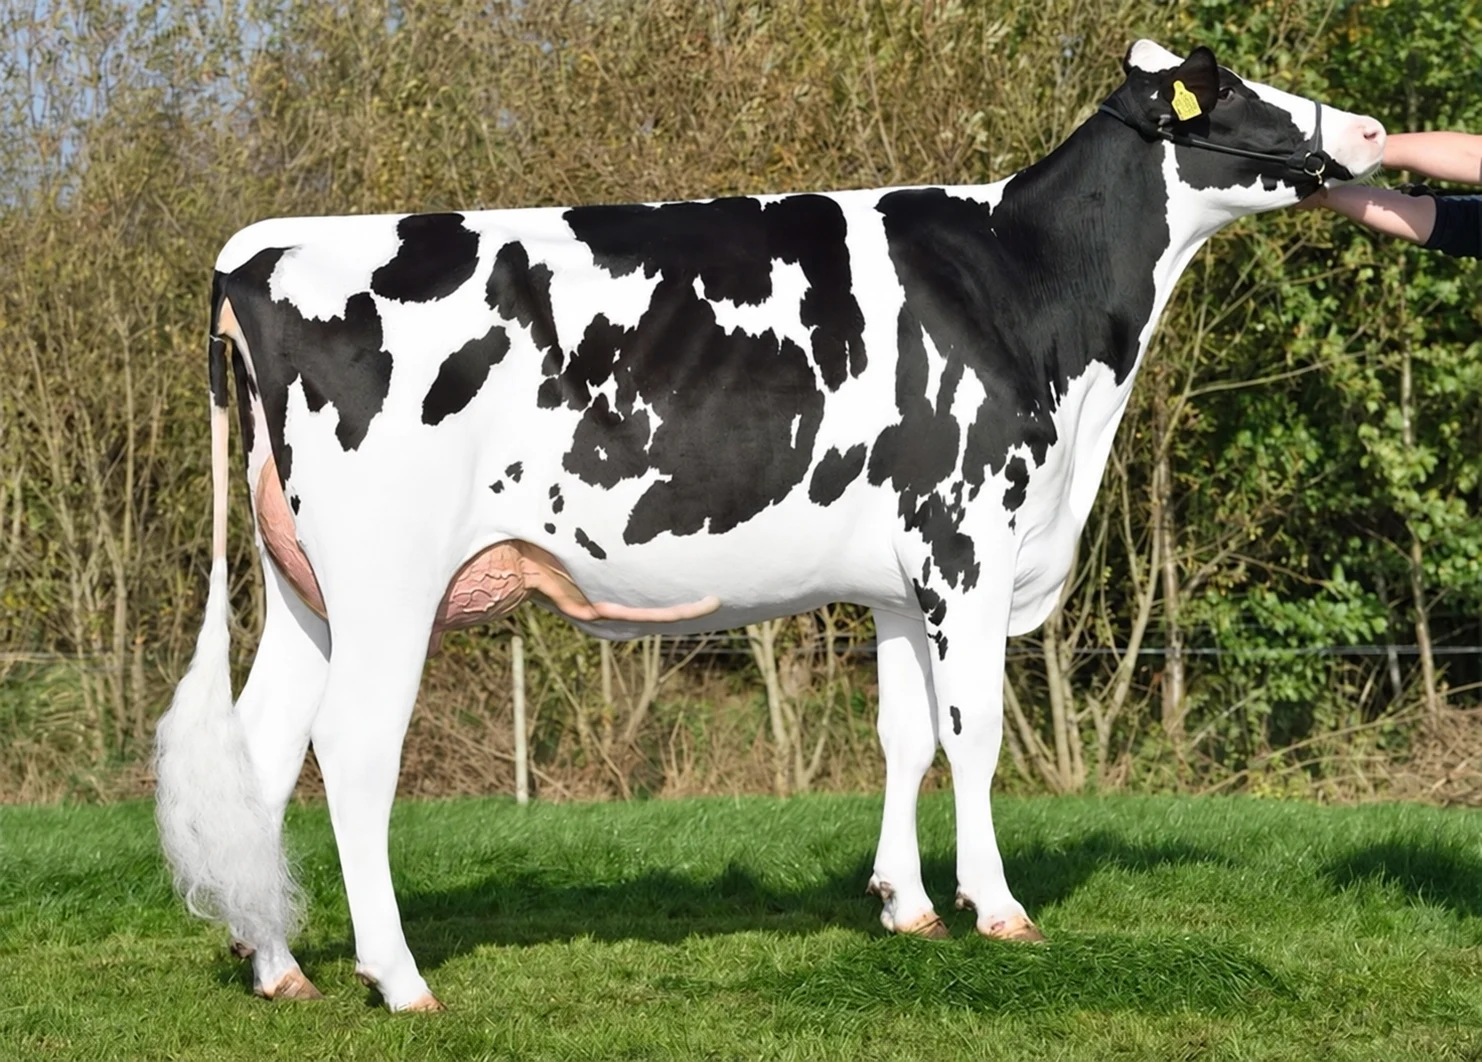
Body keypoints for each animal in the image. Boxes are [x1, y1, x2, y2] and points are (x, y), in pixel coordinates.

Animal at [155, 40, 1385, 1011]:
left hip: (304, 588)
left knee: (264, 748)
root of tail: (259, 249)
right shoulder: (966, 543)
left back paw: (278, 968)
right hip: (388, 581)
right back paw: (398, 978)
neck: (1029, 295)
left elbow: (903, 735)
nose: (1371, 129)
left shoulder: (900, 579)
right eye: (1225, 87)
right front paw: (996, 908)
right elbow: (973, 732)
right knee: (353, 751)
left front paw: (905, 905)